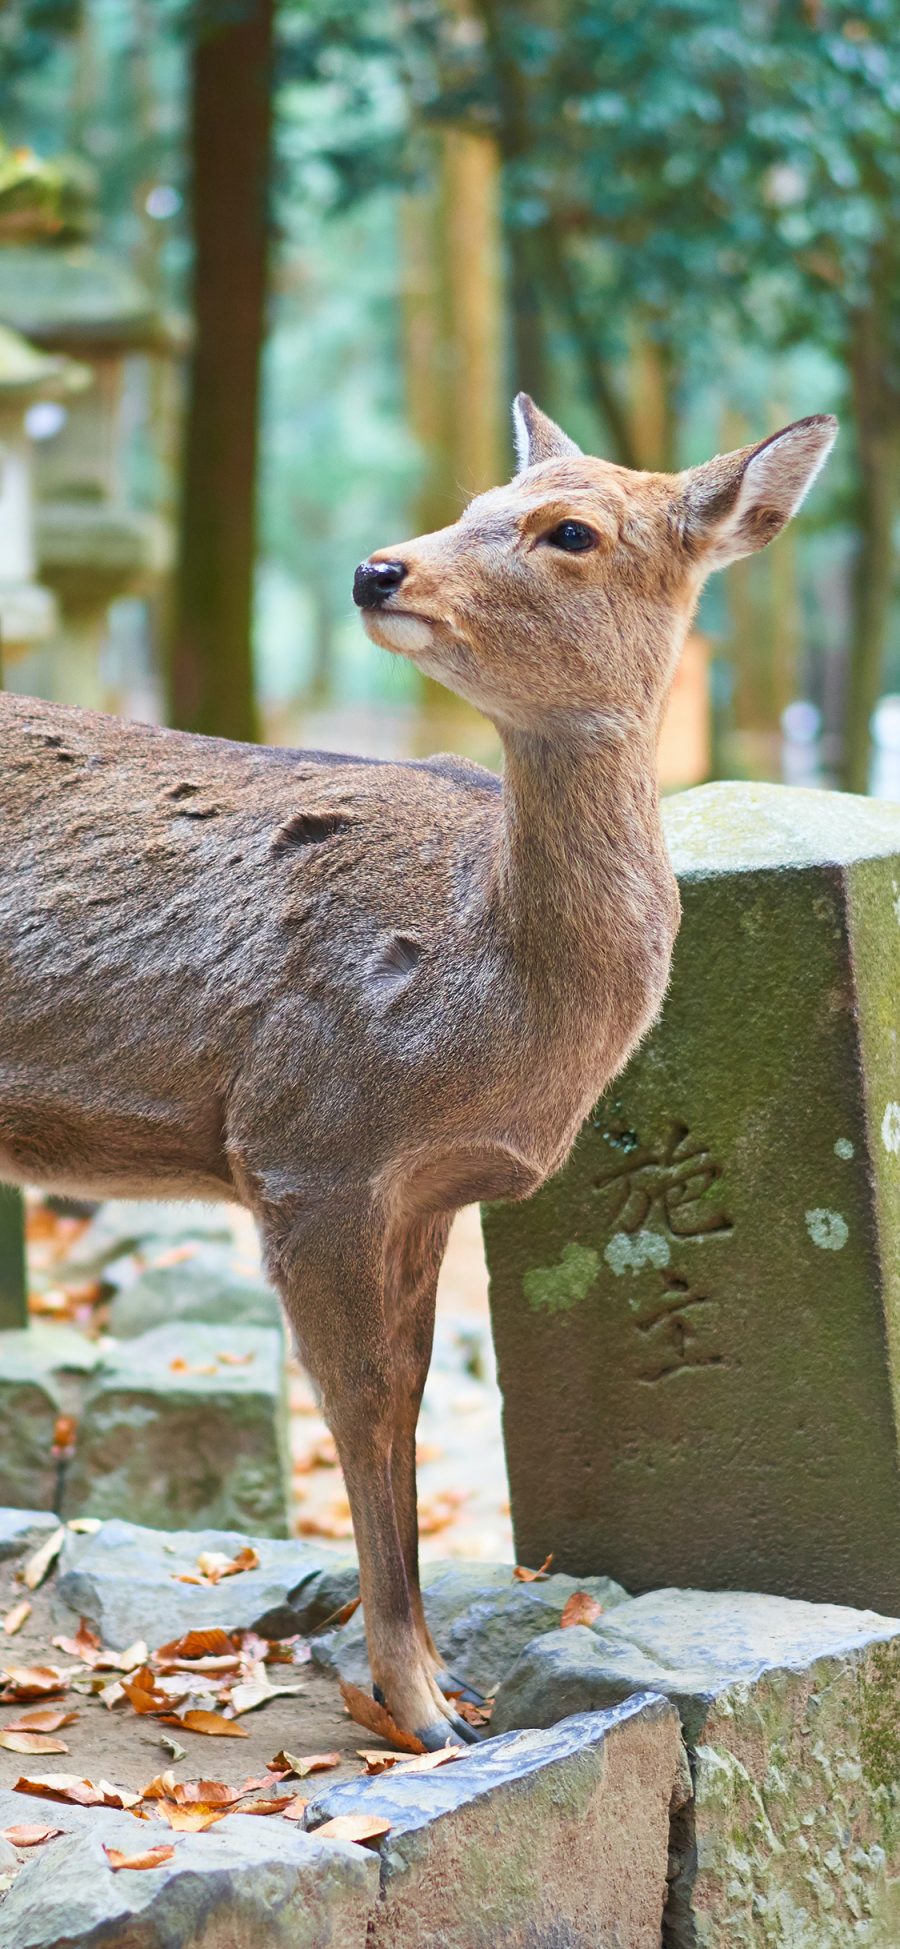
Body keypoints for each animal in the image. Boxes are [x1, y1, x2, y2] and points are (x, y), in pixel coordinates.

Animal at [0, 399, 837, 1754]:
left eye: (568, 528)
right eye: (472, 500)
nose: (376, 567)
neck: (479, 1008)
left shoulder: (427, 1186)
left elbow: (404, 1393)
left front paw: (451, 1687)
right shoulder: (307, 1142)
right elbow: (354, 1401)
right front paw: (416, 1707)